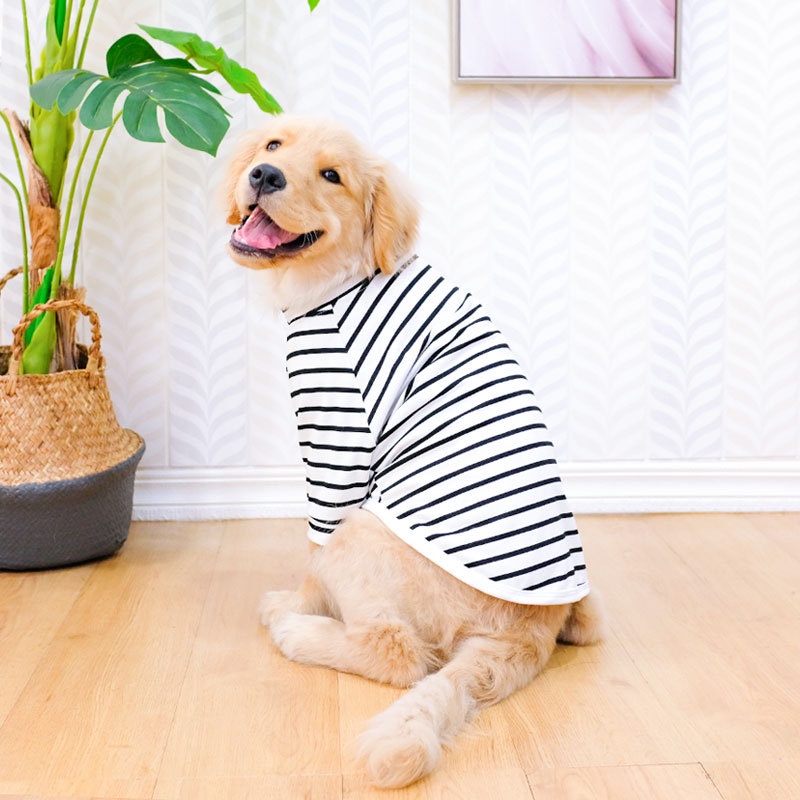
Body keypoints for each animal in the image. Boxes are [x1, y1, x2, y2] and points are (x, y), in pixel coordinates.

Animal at [222, 114, 604, 788]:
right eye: (273, 146)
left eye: (331, 175)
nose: (264, 175)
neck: (343, 279)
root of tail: (529, 628)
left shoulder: (337, 439)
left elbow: (313, 552)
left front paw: (295, 602)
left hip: (363, 533)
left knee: (399, 653)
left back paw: (297, 629)